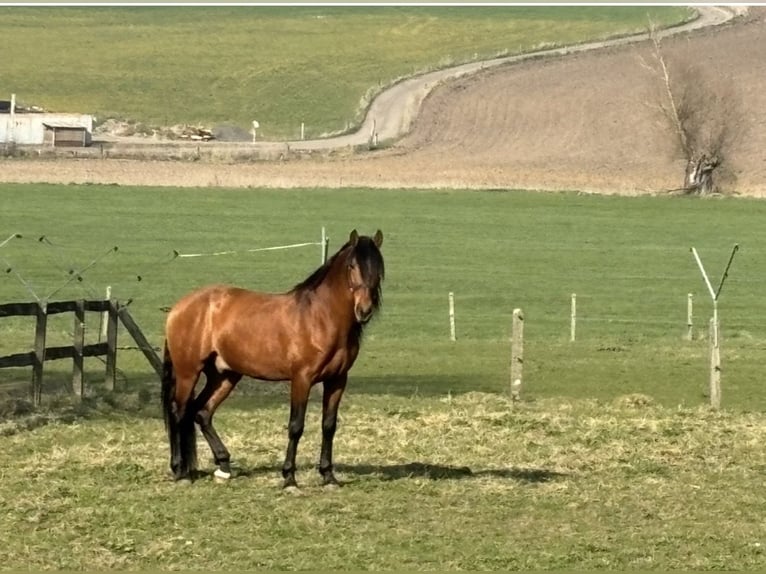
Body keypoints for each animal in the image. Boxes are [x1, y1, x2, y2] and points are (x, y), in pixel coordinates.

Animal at [160, 229, 384, 490]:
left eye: (378, 268)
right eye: (352, 266)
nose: (364, 310)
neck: (320, 318)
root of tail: (179, 307)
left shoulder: (337, 380)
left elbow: (329, 426)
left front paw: (328, 476)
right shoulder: (301, 379)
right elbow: (296, 426)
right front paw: (289, 479)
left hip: (225, 375)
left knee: (202, 412)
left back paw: (223, 467)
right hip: (188, 372)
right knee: (179, 412)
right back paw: (181, 472)